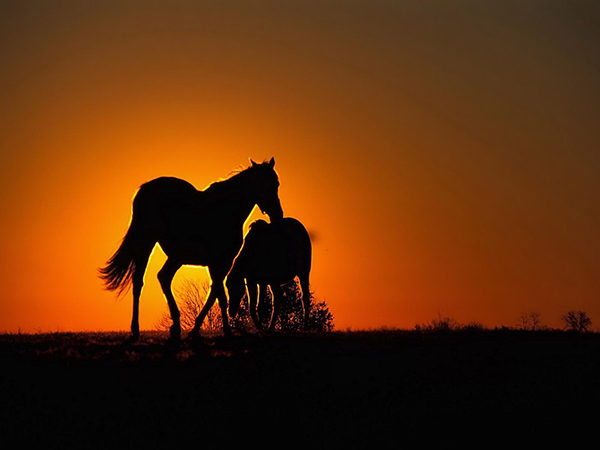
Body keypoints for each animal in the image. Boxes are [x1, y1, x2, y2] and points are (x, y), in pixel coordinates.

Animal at [99, 159, 284, 342]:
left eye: (277, 184)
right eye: (266, 184)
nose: (278, 215)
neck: (227, 211)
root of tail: (144, 189)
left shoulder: (219, 263)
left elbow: (215, 294)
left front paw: (199, 329)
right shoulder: (220, 262)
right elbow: (220, 295)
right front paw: (223, 330)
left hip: (176, 257)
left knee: (163, 277)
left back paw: (175, 326)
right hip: (148, 243)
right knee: (139, 281)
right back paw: (136, 329)